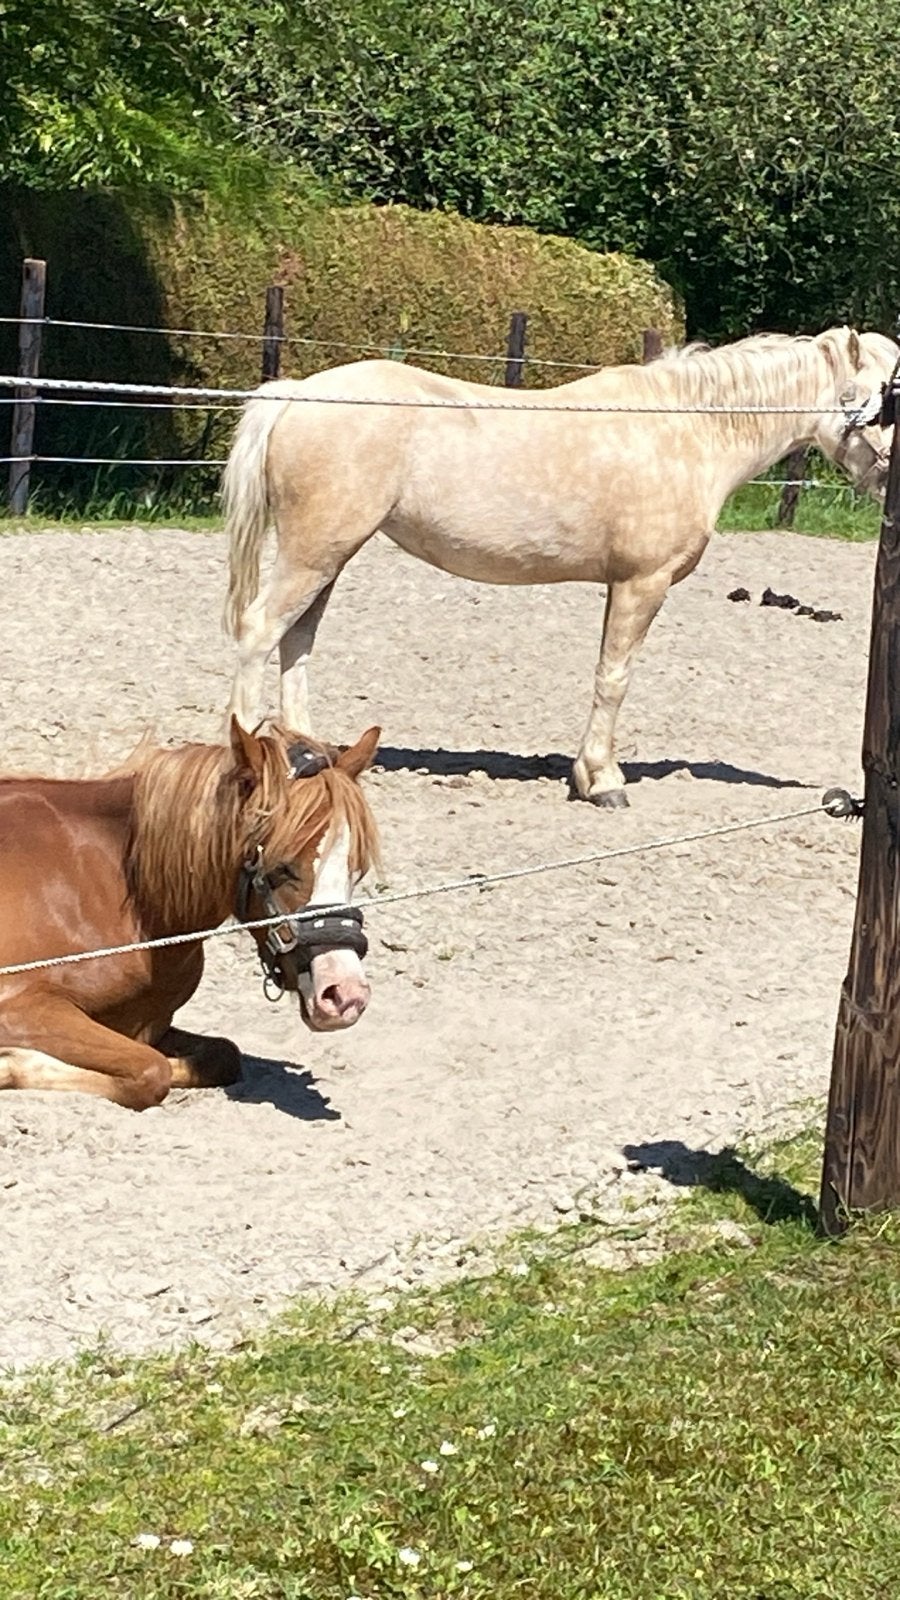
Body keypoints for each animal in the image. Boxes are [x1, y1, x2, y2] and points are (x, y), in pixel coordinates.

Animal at [0, 718, 379, 1109]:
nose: (345, 996)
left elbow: (222, 1055)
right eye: (281, 867)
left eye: (357, 868)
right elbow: (152, 1070)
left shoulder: (150, 1022)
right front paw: (11, 1064)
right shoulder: (22, 1008)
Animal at [222, 326, 898, 808]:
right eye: (890, 397)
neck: (688, 430)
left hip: (328, 556)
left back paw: (311, 755)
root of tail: (294, 394)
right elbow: (614, 678)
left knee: (296, 640)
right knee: (260, 632)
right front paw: (601, 780)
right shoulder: (641, 584)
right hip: (315, 552)